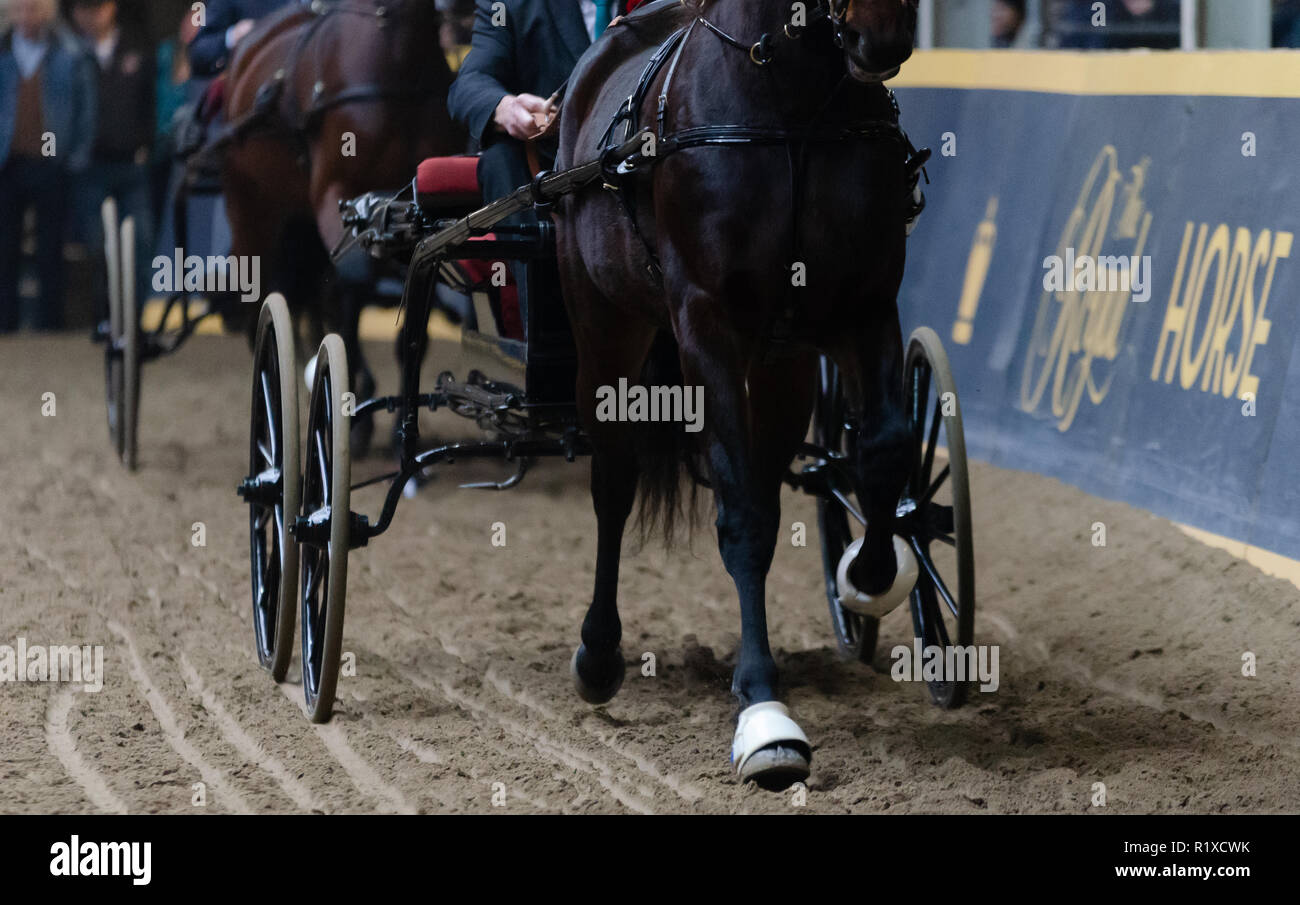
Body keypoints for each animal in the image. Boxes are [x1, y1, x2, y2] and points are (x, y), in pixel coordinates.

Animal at [220, 0, 465, 452]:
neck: (397, 59)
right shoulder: (337, 198)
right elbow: (351, 288)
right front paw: (348, 410)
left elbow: (410, 309)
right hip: (252, 209)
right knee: (266, 288)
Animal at [553, 0, 920, 790]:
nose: (882, 37)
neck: (791, 107)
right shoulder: (707, 323)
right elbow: (742, 520)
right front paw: (764, 712)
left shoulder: (864, 305)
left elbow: (882, 451)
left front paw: (869, 575)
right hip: (605, 328)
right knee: (614, 483)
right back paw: (598, 653)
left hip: (781, 367)